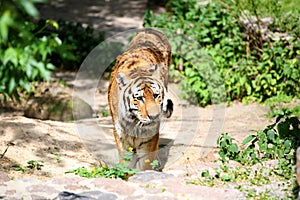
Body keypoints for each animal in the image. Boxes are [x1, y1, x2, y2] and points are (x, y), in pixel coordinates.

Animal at [108, 27, 173, 170]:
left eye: (156, 95)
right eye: (139, 98)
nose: (154, 116)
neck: (133, 121)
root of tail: (151, 29)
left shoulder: (149, 137)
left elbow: (146, 163)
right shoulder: (120, 134)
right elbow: (125, 163)